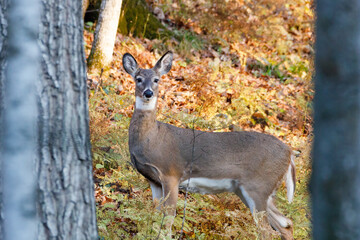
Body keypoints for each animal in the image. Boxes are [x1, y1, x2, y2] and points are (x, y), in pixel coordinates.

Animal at [122, 51, 296, 239]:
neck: (153, 138)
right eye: (138, 78)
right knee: (286, 223)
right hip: (250, 190)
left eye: (156, 79)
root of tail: (289, 152)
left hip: (259, 186)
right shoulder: (153, 180)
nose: (148, 93)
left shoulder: (171, 174)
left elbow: (168, 218)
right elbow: (155, 214)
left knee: (268, 230)